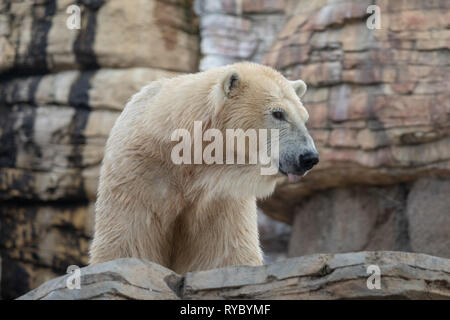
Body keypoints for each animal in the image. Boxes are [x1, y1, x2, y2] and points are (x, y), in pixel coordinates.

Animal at [89, 63, 320, 276]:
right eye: (278, 113)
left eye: (304, 117)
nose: (309, 157)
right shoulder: (139, 174)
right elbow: (128, 236)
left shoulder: (222, 195)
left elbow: (225, 249)